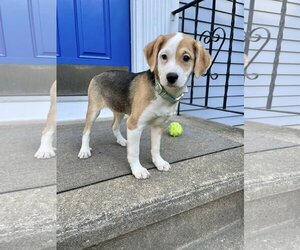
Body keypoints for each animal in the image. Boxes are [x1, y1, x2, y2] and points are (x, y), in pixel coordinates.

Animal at [78, 32, 212, 178]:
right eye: (163, 56)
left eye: (186, 58)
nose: (171, 77)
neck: (161, 92)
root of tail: (98, 74)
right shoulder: (134, 124)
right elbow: (134, 151)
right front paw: (137, 169)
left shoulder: (158, 125)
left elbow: (156, 148)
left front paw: (159, 162)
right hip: (94, 110)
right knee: (86, 131)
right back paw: (84, 150)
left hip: (120, 110)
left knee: (114, 126)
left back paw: (121, 140)